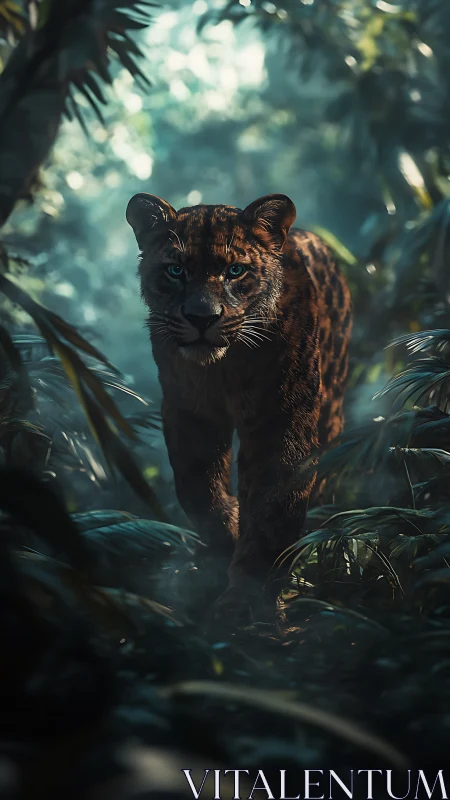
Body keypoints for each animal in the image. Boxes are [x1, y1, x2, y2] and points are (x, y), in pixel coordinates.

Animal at [126, 192, 352, 622]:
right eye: (176, 270)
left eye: (235, 271)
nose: (202, 318)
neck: (221, 370)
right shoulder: (188, 415)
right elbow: (200, 491)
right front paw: (220, 554)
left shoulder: (282, 419)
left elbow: (272, 505)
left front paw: (246, 599)